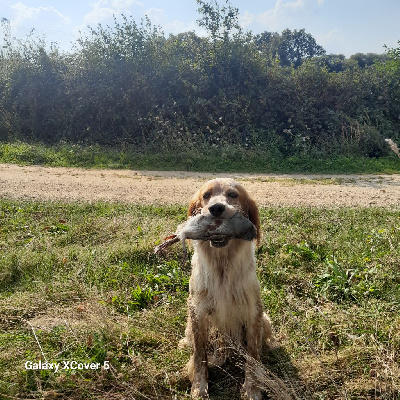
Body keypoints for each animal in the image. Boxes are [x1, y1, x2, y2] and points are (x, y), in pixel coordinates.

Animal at [180, 179, 272, 400]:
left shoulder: (254, 312)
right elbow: (199, 355)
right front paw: (199, 387)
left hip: (266, 321)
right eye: (206, 195)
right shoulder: (197, 311)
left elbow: (252, 355)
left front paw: (252, 389)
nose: (216, 208)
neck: (222, 264)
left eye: (233, 195)